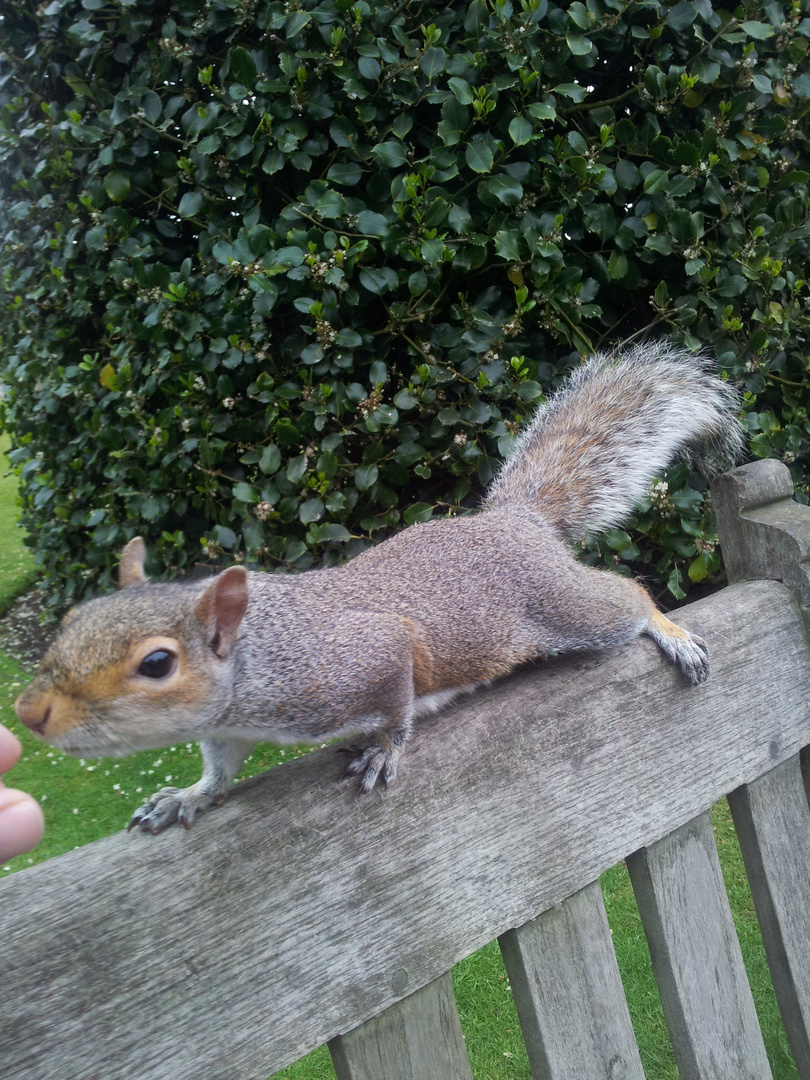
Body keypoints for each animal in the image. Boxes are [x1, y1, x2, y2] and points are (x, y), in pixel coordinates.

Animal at [15, 341, 747, 829]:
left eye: (157, 664)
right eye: (74, 617)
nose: (29, 713)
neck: (258, 656)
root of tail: (514, 521)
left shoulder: (361, 658)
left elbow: (396, 704)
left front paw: (382, 753)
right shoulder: (228, 726)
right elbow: (220, 768)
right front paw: (187, 797)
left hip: (566, 609)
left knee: (629, 598)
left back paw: (671, 633)